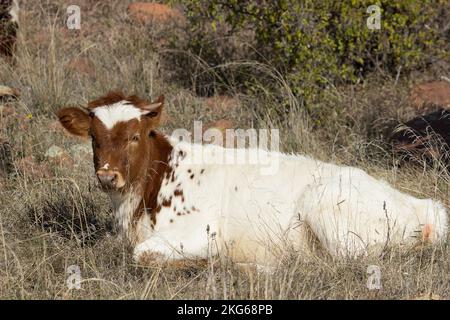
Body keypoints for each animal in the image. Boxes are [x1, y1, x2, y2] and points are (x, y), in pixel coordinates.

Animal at [58, 92, 448, 264]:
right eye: (94, 137)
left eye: (134, 137)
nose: (107, 176)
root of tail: (423, 206)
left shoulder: (200, 231)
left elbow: (142, 254)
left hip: (329, 215)